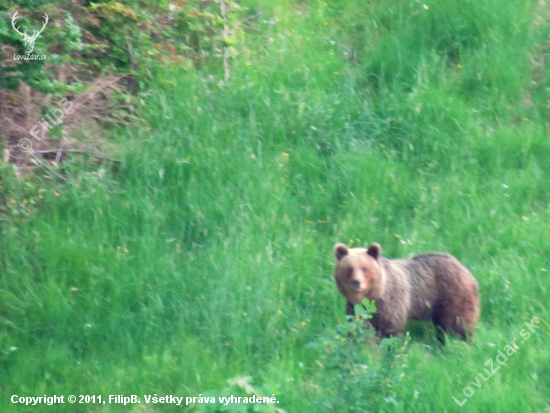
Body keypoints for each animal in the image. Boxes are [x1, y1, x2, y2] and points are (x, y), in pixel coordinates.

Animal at [334, 241, 480, 342]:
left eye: (364, 268)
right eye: (349, 268)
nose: (356, 282)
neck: (373, 295)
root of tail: (465, 269)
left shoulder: (390, 301)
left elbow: (389, 329)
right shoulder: (355, 308)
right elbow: (358, 326)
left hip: (452, 295)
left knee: (457, 323)